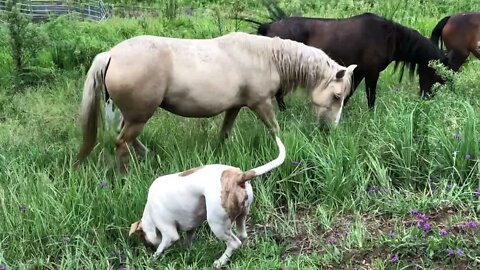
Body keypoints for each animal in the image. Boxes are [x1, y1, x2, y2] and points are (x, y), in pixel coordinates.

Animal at [75, 31, 356, 171]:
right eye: (337, 96)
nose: (329, 130)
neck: (267, 57)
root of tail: (111, 54)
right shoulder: (260, 103)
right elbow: (274, 128)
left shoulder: (234, 107)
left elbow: (224, 132)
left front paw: (218, 153)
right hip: (139, 116)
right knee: (122, 143)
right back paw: (125, 175)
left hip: (133, 116)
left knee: (127, 139)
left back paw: (149, 158)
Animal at [128, 136, 284, 266]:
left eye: (144, 239)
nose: (148, 248)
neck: (149, 212)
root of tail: (239, 176)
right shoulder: (190, 228)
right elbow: (188, 240)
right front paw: (187, 253)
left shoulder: (169, 234)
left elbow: (161, 247)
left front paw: (151, 259)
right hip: (241, 216)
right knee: (242, 236)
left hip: (217, 224)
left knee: (234, 243)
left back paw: (220, 262)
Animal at [244, 4, 450, 109]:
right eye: (438, 75)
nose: (427, 99)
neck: (389, 37)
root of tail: (269, 27)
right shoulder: (372, 73)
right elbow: (371, 97)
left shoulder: (359, 72)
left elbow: (348, 94)